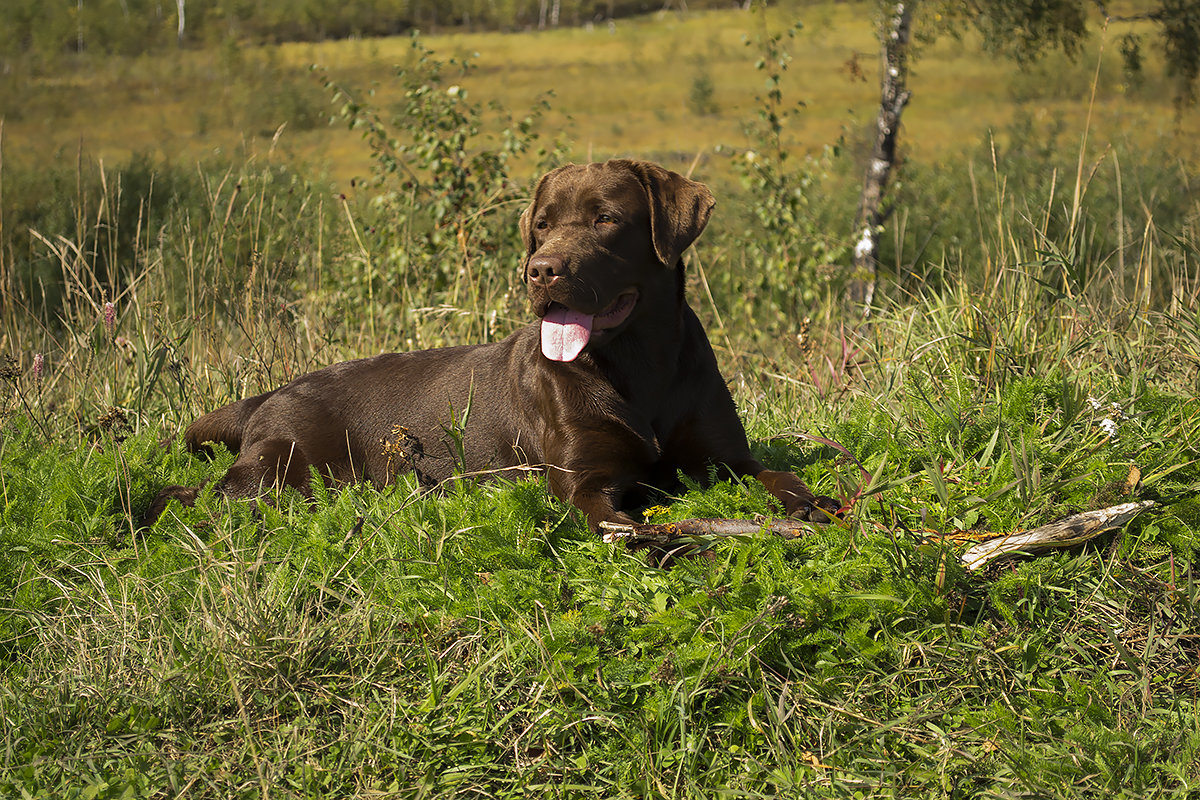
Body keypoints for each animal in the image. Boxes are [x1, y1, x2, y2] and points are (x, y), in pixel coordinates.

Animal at [145, 158, 840, 532]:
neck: (640, 366)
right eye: (542, 225)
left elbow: (776, 473)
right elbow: (619, 522)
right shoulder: (583, 481)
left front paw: (813, 501)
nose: (541, 269)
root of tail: (273, 392)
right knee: (189, 495)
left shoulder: (726, 457)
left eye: (606, 219)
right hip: (278, 474)